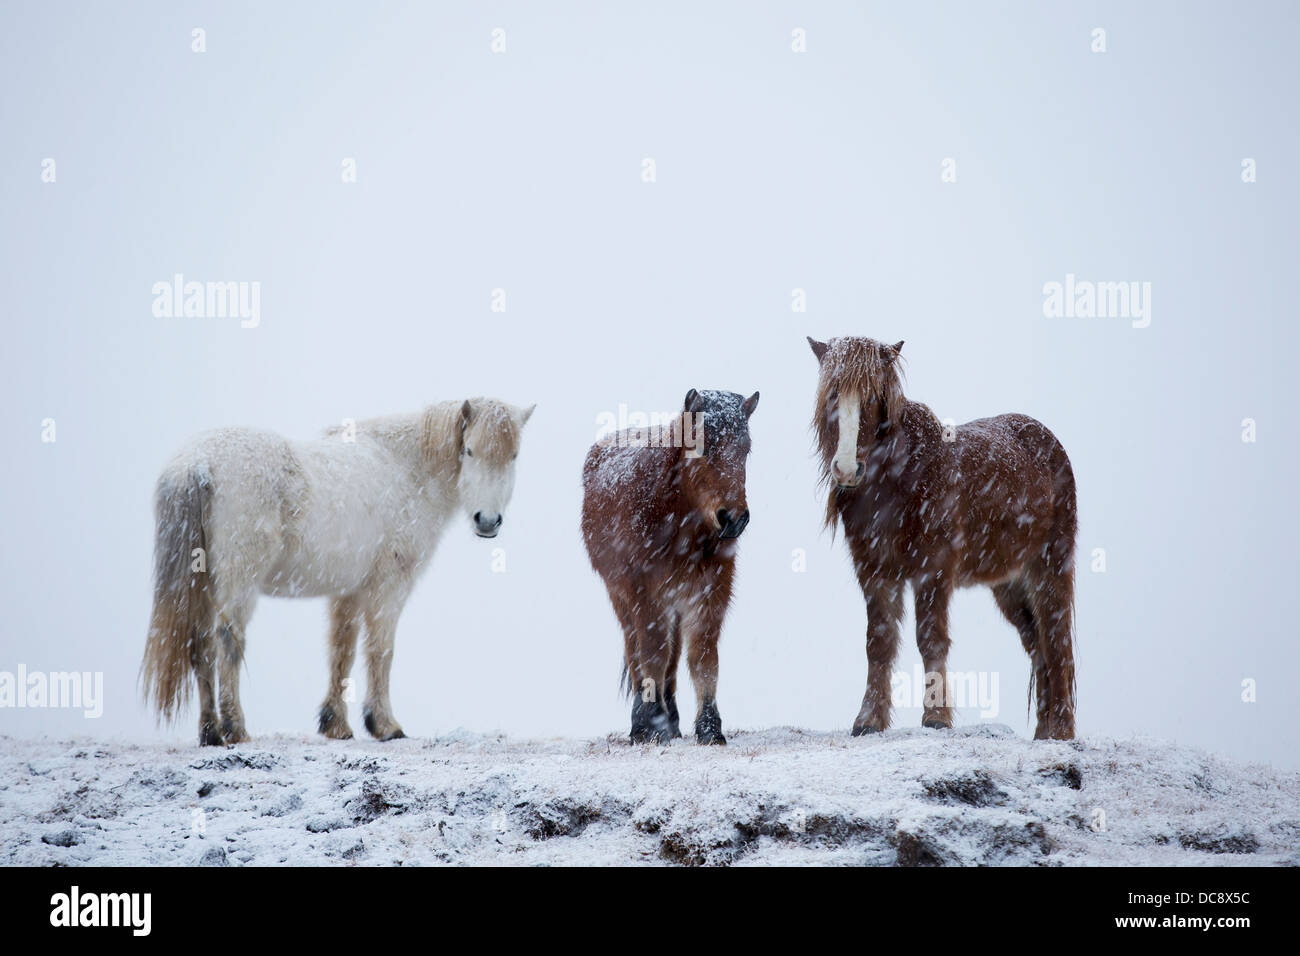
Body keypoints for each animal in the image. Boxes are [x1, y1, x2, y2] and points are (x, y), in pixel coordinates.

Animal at [141, 398, 534, 746]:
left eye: (514, 456)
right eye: (469, 450)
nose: (487, 521)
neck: (404, 469)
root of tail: (197, 464)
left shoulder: (349, 589)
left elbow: (341, 649)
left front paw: (336, 725)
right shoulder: (388, 585)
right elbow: (380, 649)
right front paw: (384, 725)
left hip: (202, 587)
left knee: (199, 644)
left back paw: (210, 731)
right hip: (238, 583)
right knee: (228, 640)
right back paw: (235, 728)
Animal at [581, 388, 759, 745]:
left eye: (746, 448)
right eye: (701, 444)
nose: (733, 518)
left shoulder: (711, 590)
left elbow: (702, 657)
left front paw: (709, 728)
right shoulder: (644, 593)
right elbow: (652, 653)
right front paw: (650, 724)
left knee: (673, 657)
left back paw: (672, 720)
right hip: (622, 598)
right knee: (636, 649)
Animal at [807, 336, 1077, 740]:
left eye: (871, 397)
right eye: (832, 395)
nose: (846, 469)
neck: (898, 480)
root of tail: (1050, 442)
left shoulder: (931, 570)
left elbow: (930, 638)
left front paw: (935, 717)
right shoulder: (875, 572)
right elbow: (879, 643)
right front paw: (868, 721)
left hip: (1050, 567)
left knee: (1056, 641)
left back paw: (1061, 731)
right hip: (1010, 585)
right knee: (1037, 645)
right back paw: (1044, 733)